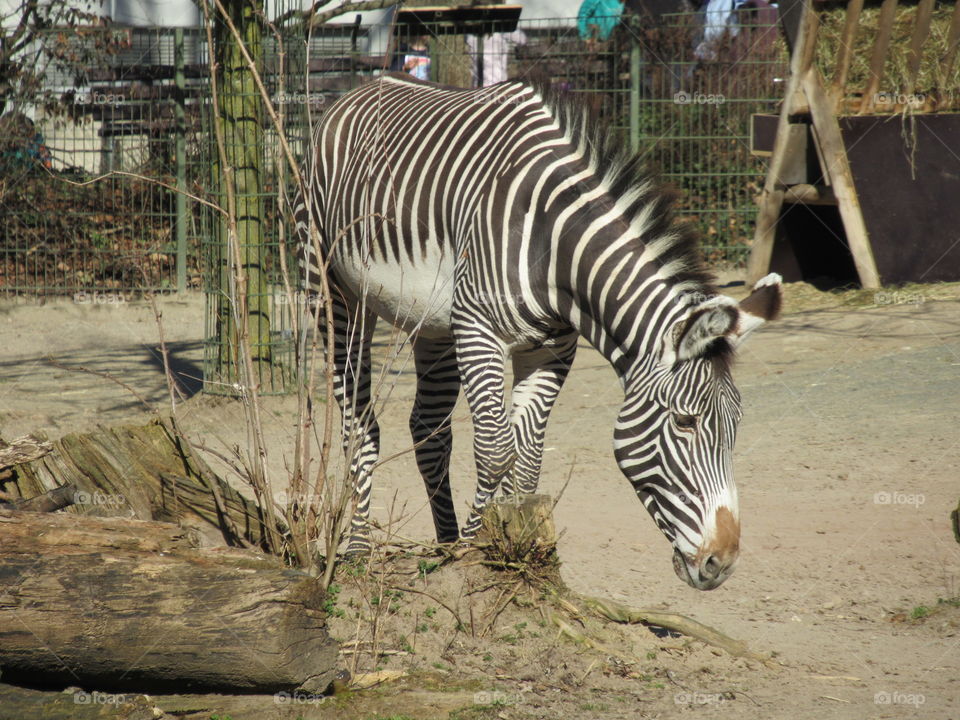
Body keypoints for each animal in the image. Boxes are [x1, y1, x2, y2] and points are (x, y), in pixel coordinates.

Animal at [296, 73, 784, 592]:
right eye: (685, 422)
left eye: (736, 424)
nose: (722, 562)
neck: (556, 248)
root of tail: (361, 87)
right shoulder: (479, 330)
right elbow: (496, 451)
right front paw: (475, 551)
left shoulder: (551, 349)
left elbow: (527, 461)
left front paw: (516, 548)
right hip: (333, 292)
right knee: (357, 422)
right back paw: (357, 551)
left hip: (432, 323)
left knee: (428, 430)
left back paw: (441, 545)